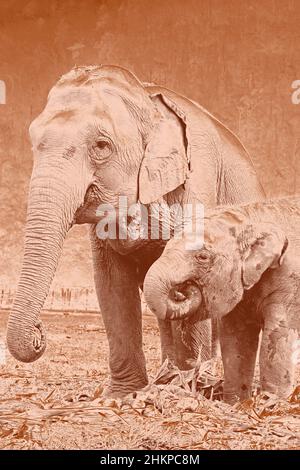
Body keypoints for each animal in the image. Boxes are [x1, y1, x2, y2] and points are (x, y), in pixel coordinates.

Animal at [6, 65, 264, 396]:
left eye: (101, 146)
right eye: (33, 142)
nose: (40, 332)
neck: (147, 100)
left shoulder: (198, 180)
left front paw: (186, 389)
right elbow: (112, 281)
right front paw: (124, 394)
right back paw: (170, 376)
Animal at [144, 196, 300, 402]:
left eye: (202, 256)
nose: (182, 289)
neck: (251, 218)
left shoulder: (289, 282)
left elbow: (276, 337)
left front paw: (272, 402)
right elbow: (236, 339)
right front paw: (236, 403)